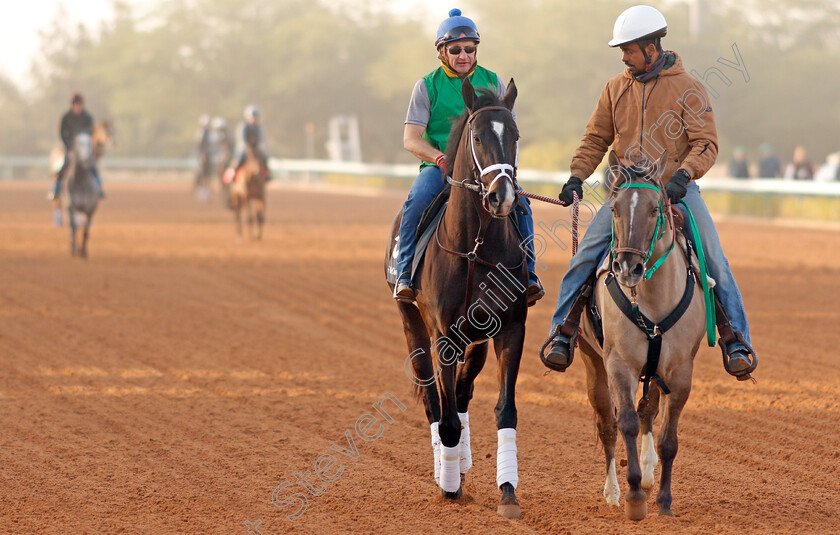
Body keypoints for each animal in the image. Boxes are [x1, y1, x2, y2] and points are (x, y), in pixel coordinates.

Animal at [386, 78, 528, 520]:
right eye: (477, 136)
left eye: (515, 135)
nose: (502, 196)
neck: (473, 247)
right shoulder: (444, 337)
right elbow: (445, 417)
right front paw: (448, 487)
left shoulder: (510, 329)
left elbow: (504, 410)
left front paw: (507, 491)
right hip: (412, 326)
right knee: (436, 401)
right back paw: (447, 471)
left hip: (477, 341)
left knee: (462, 396)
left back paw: (462, 464)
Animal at [576, 151, 704, 520]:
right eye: (614, 209)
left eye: (653, 210)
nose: (627, 268)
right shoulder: (620, 365)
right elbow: (627, 424)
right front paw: (634, 499)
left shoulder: (680, 372)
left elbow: (668, 439)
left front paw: (663, 502)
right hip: (592, 362)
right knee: (607, 424)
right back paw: (614, 491)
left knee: (648, 411)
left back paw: (648, 476)